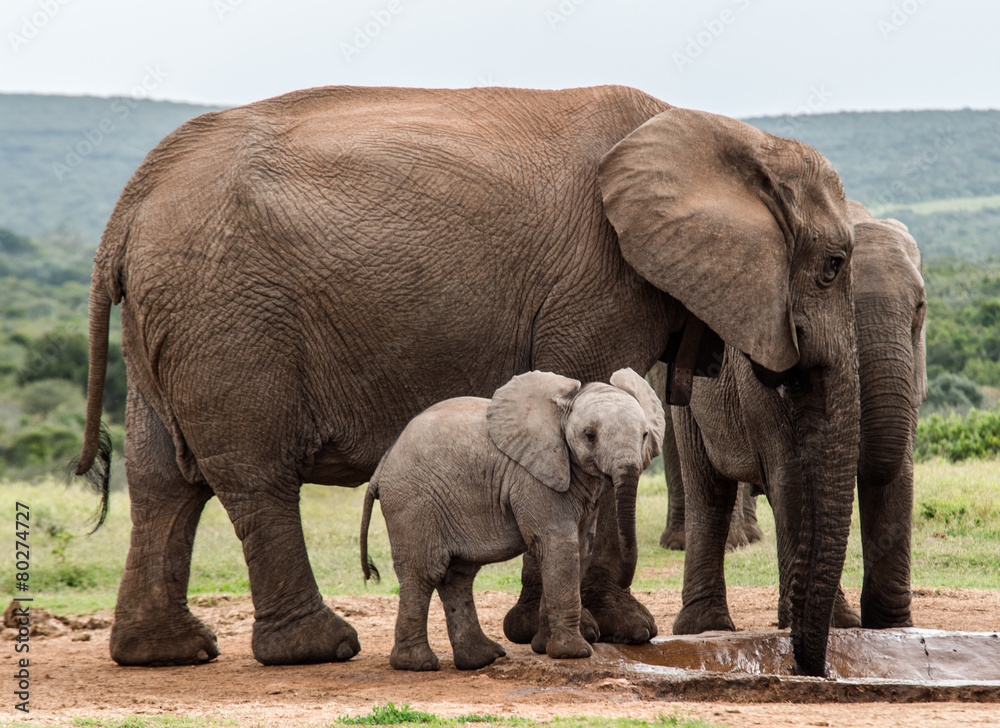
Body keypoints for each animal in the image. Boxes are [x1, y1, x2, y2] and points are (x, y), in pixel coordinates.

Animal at [359, 368, 664, 671]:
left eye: (644, 435)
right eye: (589, 436)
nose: (625, 579)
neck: (563, 407)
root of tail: (382, 466)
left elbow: (579, 548)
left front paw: (543, 648)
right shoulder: (534, 478)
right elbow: (559, 547)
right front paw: (573, 653)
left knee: (457, 576)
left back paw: (482, 658)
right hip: (413, 503)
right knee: (425, 571)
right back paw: (417, 664)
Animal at [664, 203, 925, 638]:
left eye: (920, 308)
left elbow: (897, 473)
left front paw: (892, 630)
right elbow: (794, 473)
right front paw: (827, 624)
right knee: (708, 487)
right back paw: (705, 628)